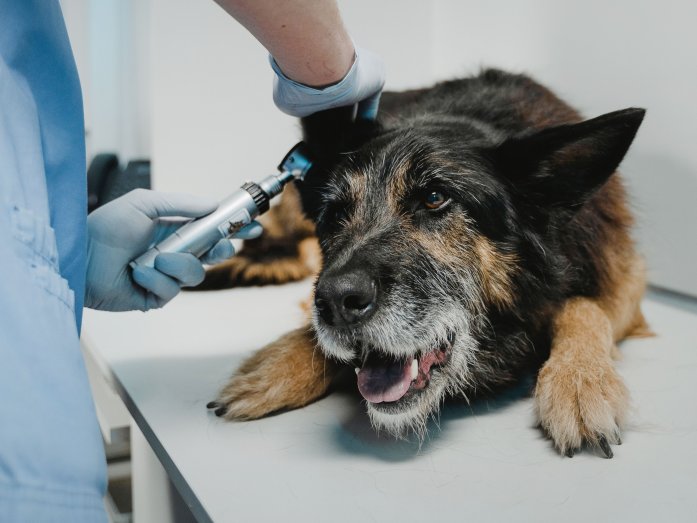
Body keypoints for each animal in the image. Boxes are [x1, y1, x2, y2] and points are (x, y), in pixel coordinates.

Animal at [201, 70, 648, 458]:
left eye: (434, 198)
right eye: (335, 213)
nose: (335, 303)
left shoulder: (623, 278)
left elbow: (583, 307)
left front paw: (580, 382)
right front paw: (280, 365)